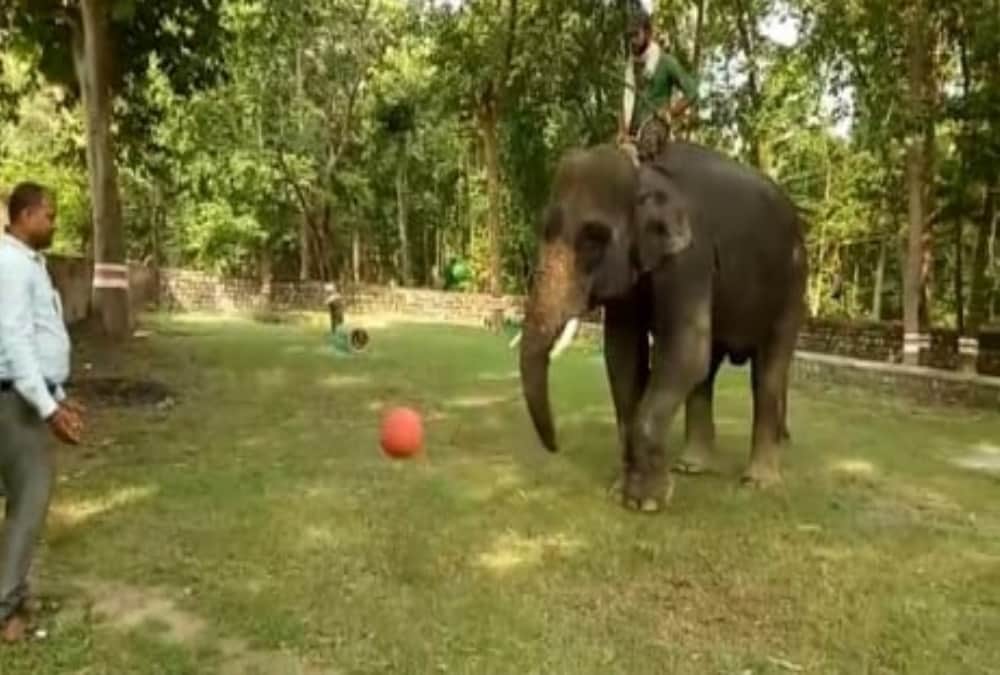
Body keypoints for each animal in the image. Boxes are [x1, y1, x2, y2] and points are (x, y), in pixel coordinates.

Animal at [518, 140, 808, 512]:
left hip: (794, 283)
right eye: (545, 231)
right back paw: (692, 466)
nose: (555, 446)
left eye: (593, 239)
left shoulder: (691, 258)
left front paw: (645, 502)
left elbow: (682, 352)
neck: (645, 172)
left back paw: (758, 482)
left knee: (767, 368)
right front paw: (623, 491)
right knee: (707, 369)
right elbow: (623, 354)